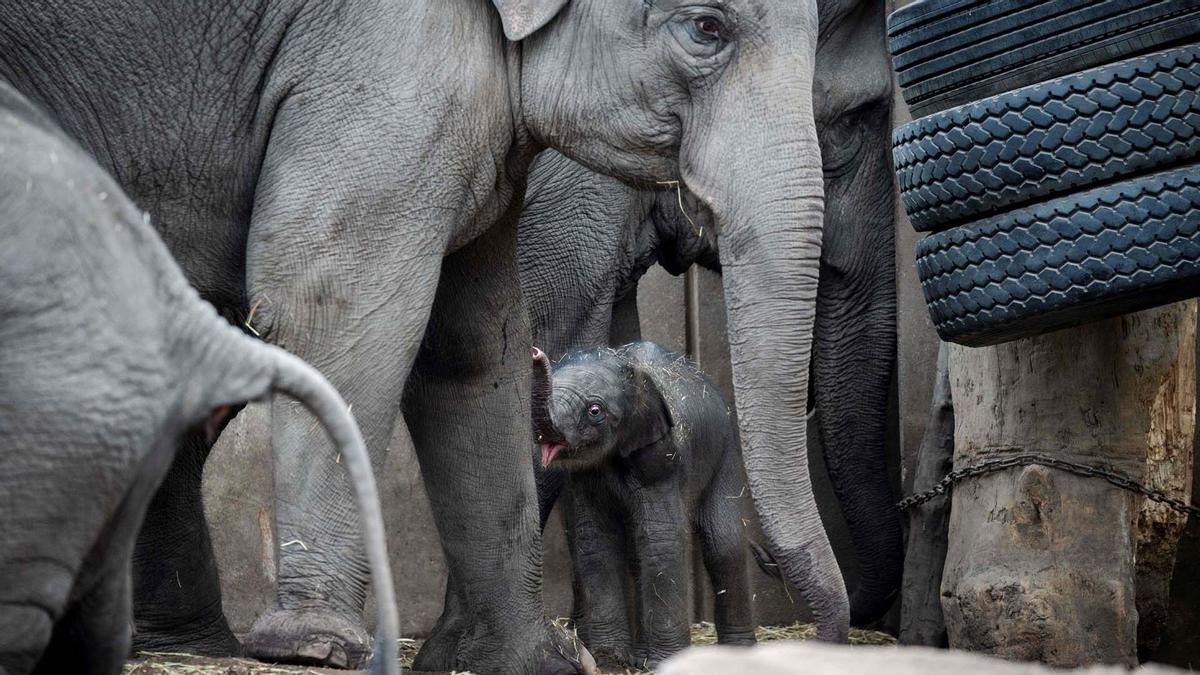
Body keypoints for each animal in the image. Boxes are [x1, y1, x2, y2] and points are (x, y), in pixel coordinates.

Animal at [537, 341, 758, 667]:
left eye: (595, 411)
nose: (535, 352)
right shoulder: (584, 476)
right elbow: (595, 541)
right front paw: (611, 660)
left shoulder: (661, 456)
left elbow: (662, 540)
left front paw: (664, 663)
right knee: (637, 555)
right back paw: (639, 657)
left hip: (725, 450)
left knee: (723, 542)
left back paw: (739, 654)